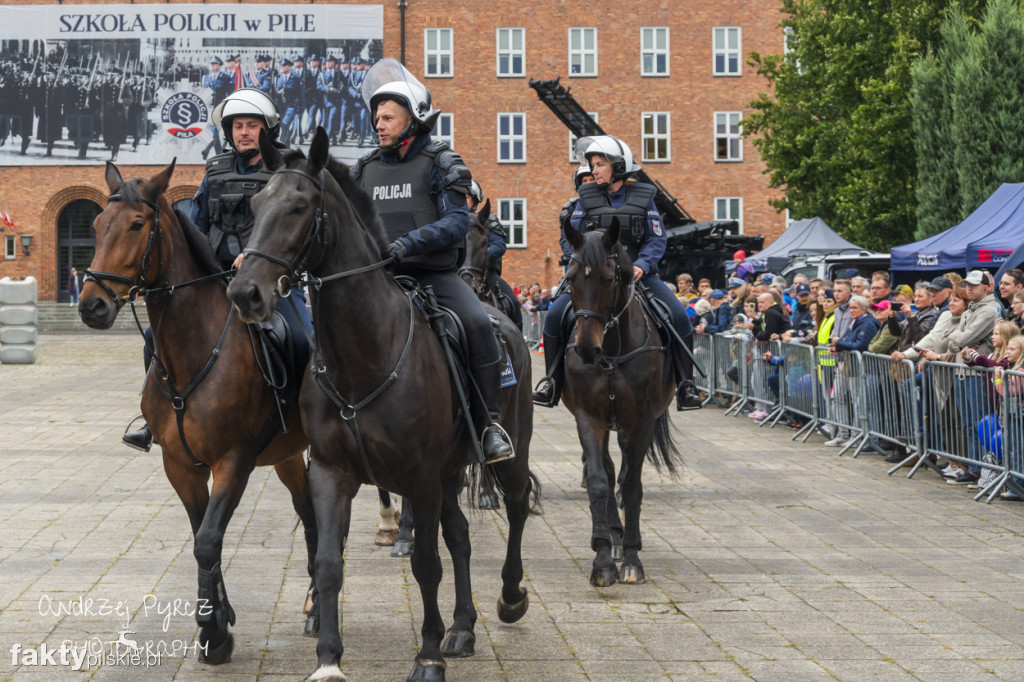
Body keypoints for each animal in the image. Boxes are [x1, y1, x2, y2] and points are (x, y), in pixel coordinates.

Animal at [79, 160, 317, 663]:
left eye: (137, 224)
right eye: (95, 225)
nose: (92, 305)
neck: (195, 350)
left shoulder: (234, 461)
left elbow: (208, 541)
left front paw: (213, 630)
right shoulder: (181, 465)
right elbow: (200, 537)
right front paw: (219, 622)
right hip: (287, 455)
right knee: (308, 514)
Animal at [229, 127, 540, 679]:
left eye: (299, 207)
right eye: (259, 203)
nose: (246, 292)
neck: (364, 357)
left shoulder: (419, 475)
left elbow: (426, 564)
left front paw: (427, 654)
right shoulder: (331, 471)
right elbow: (329, 562)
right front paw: (328, 658)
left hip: (508, 449)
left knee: (518, 504)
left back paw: (508, 598)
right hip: (448, 470)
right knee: (460, 535)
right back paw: (463, 628)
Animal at [561, 216, 679, 585]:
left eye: (609, 277)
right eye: (570, 277)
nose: (586, 349)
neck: (612, 350)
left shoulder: (640, 421)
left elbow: (632, 487)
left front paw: (631, 560)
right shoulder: (588, 418)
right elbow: (600, 481)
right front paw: (602, 561)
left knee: (625, 469)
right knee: (609, 469)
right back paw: (612, 535)